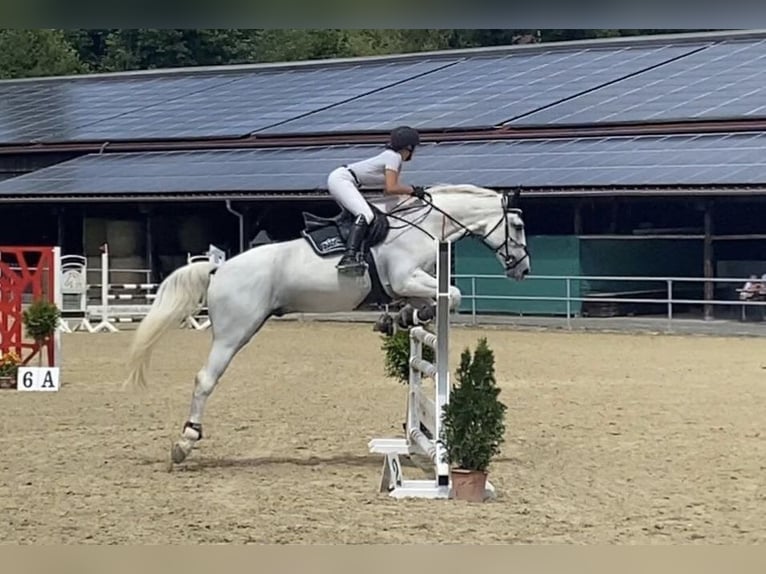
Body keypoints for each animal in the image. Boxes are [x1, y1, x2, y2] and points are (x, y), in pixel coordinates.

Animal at [124, 187, 536, 466]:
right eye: (517, 225)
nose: (523, 270)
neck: (425, 226)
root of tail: (218, 269)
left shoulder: (410, 284)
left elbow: (433, 302)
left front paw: (404, 318)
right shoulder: (405, 277)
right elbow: (454, 294)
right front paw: (408, 316)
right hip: (233, 333)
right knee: (205, 379)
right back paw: (185, 442)